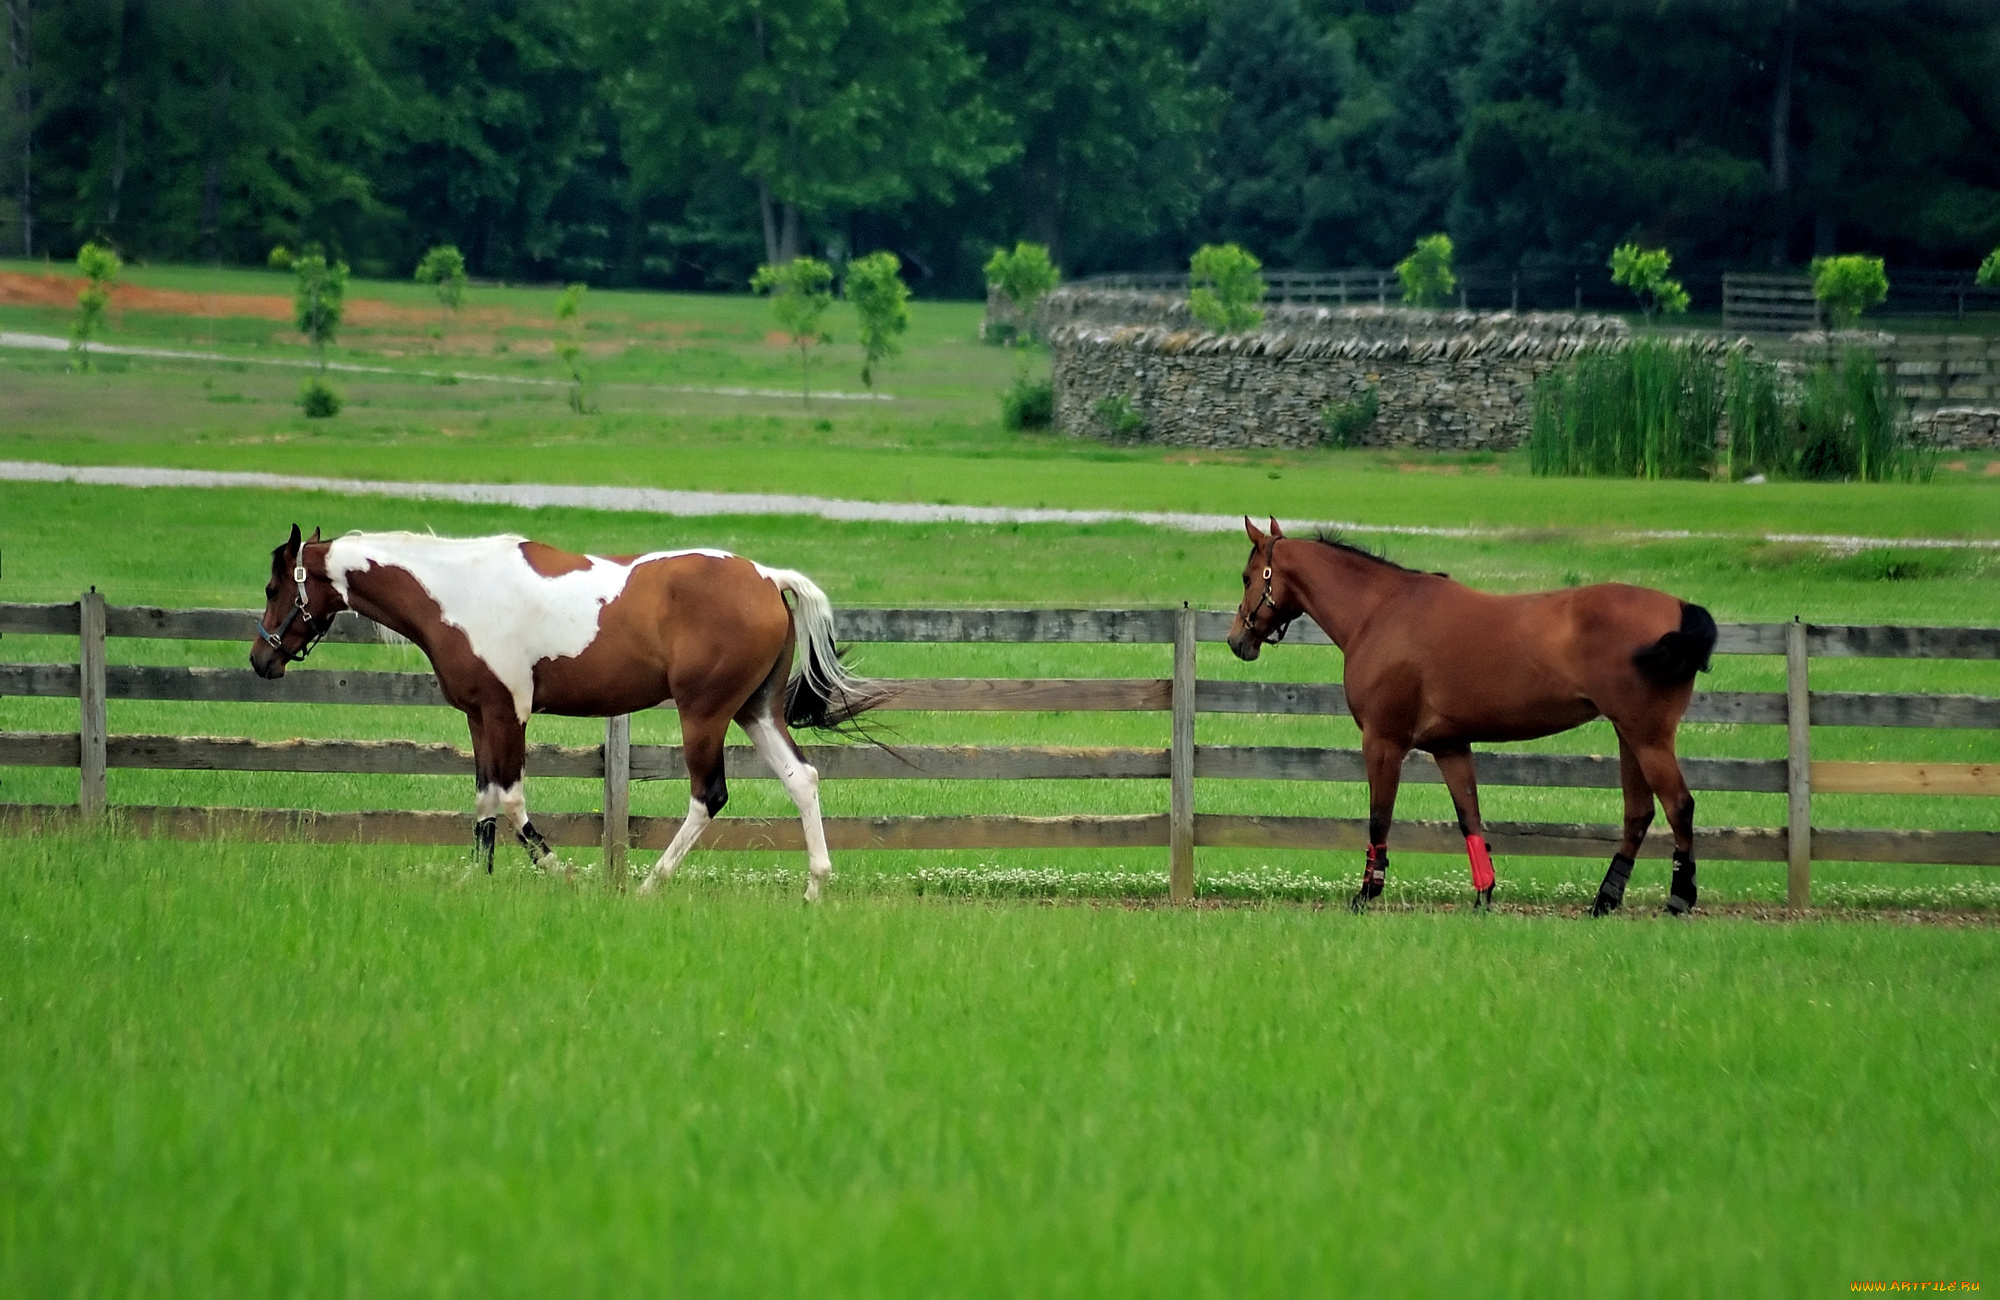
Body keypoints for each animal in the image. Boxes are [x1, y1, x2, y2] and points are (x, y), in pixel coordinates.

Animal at [250, 520, 876, 896]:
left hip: (704, 714)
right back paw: (815, 887)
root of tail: (767, 577)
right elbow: (484, 800)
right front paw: (478, 880)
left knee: (709, 796)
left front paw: (563, 872)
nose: (260, 660)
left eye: (274, 587)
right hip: (754, 711)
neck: (459, 593)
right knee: (802, 779)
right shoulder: (479, 716)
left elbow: (510, 799)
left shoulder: (508, 713)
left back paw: (647, 886)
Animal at [1224, 516, 1712, 912]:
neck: (1380, 611)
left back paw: (1679, 898)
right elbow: (1469, 818)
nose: (1236, 641)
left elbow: (1380, 817)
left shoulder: (1383, 741)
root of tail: (1678, 607)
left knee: (1679, 806)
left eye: (1248, 577)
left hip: (1648, 737)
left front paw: (1366, 893)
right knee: (1638, 814)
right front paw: (1484, 895)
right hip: (1628, 736)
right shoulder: (1451, 746)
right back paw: (1605, 900)